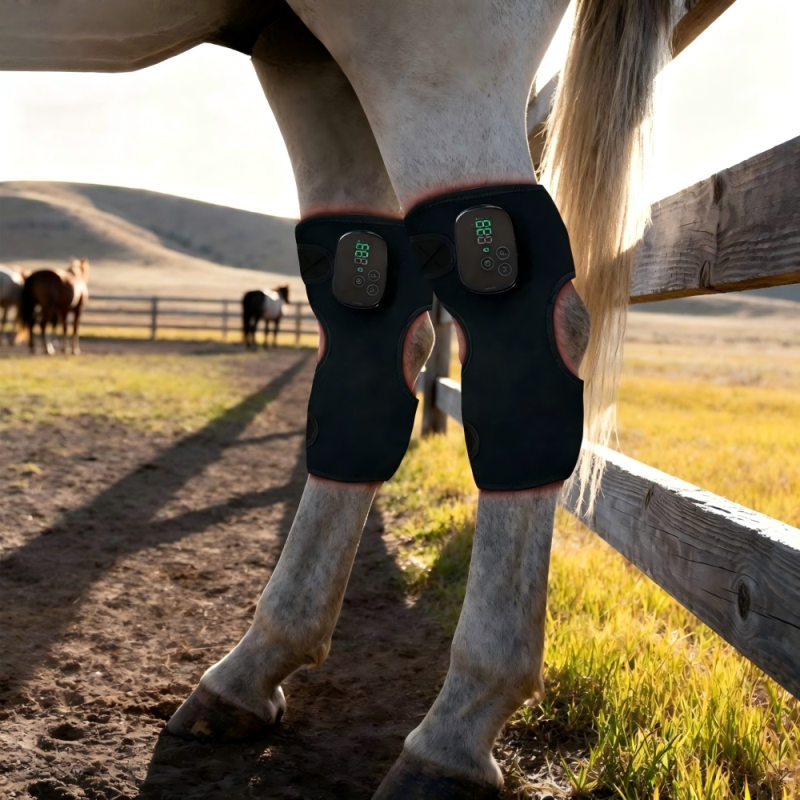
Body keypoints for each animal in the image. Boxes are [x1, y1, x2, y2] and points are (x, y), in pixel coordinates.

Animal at [1, 1, 672, 795]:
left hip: (428, 46)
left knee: (523, 324)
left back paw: (455, 729)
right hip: (304, 53)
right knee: (373, 331)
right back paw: (251, 672)